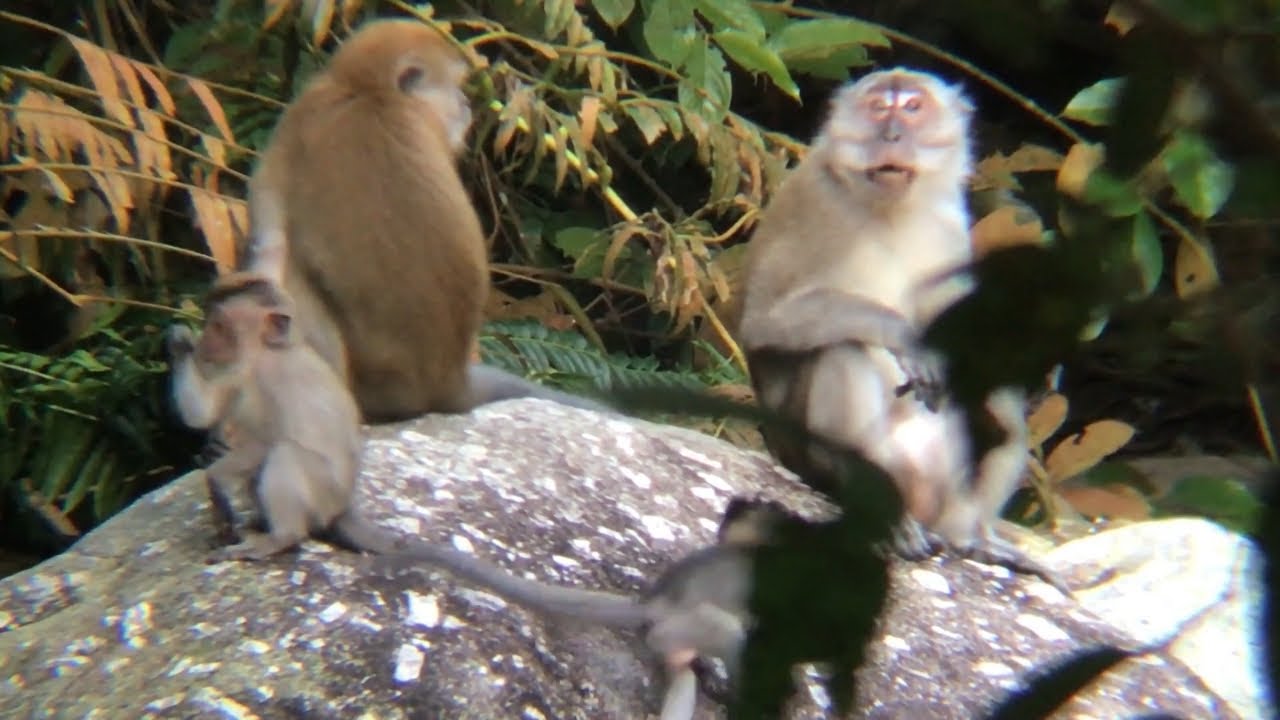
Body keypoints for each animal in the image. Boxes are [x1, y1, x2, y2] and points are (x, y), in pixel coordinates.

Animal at [242, 18, 607, 424]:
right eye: (454, 85)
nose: (464, 102)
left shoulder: (298, 118)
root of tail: (448, 385)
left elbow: (269, 240)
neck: (369, 91)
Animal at [736, 67, 1058, 584]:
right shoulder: (813, 198)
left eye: (912, 107)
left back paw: (971, 534)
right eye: (878, 108)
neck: (889, 206)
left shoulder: (948, 222)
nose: (891, 135)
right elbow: (766, 323)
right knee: (842, 350)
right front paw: (905, 338)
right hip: (811, 457)